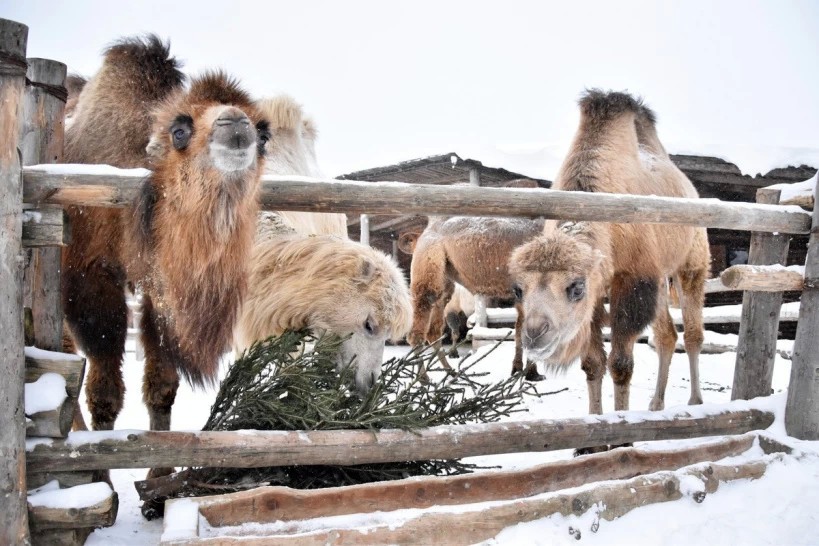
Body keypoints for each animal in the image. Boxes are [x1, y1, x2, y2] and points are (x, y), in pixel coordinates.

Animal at [402, 212, 544, 378]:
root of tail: (429, 227)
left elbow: (522, 328)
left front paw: (522, 371)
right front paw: (530, 373)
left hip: (444, 278)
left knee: (434, 328)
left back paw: (449, 371)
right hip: (429, 257)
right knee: (424, 308)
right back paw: (424, 378)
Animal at [510, 91, 708, 422]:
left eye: (576, 287)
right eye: (517, 289)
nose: (535, 334)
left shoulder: (632, 282)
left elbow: (620, 365)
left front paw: (621, 426)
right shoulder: (598, 299)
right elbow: (592, 365)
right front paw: (593, 429)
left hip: (691, 263)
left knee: (693, 333)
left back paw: (695, 402)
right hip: (660, 282)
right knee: (666, 335)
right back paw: (656, 403)